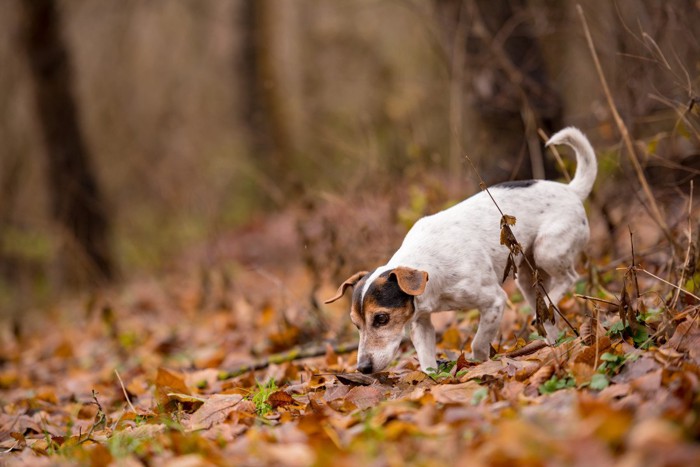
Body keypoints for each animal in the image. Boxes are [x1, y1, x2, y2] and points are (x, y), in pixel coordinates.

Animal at [326, 127, 596, 372]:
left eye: (381, 318)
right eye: (356, 325)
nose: (362, 368)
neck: (429, 271)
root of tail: (571, 190)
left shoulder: (494, 301)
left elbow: (478, 343)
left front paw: (478, 364)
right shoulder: (421, 322)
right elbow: (427, 361)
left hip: (547, 249)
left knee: (570, 277)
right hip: (529, 279)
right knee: (547, 309)